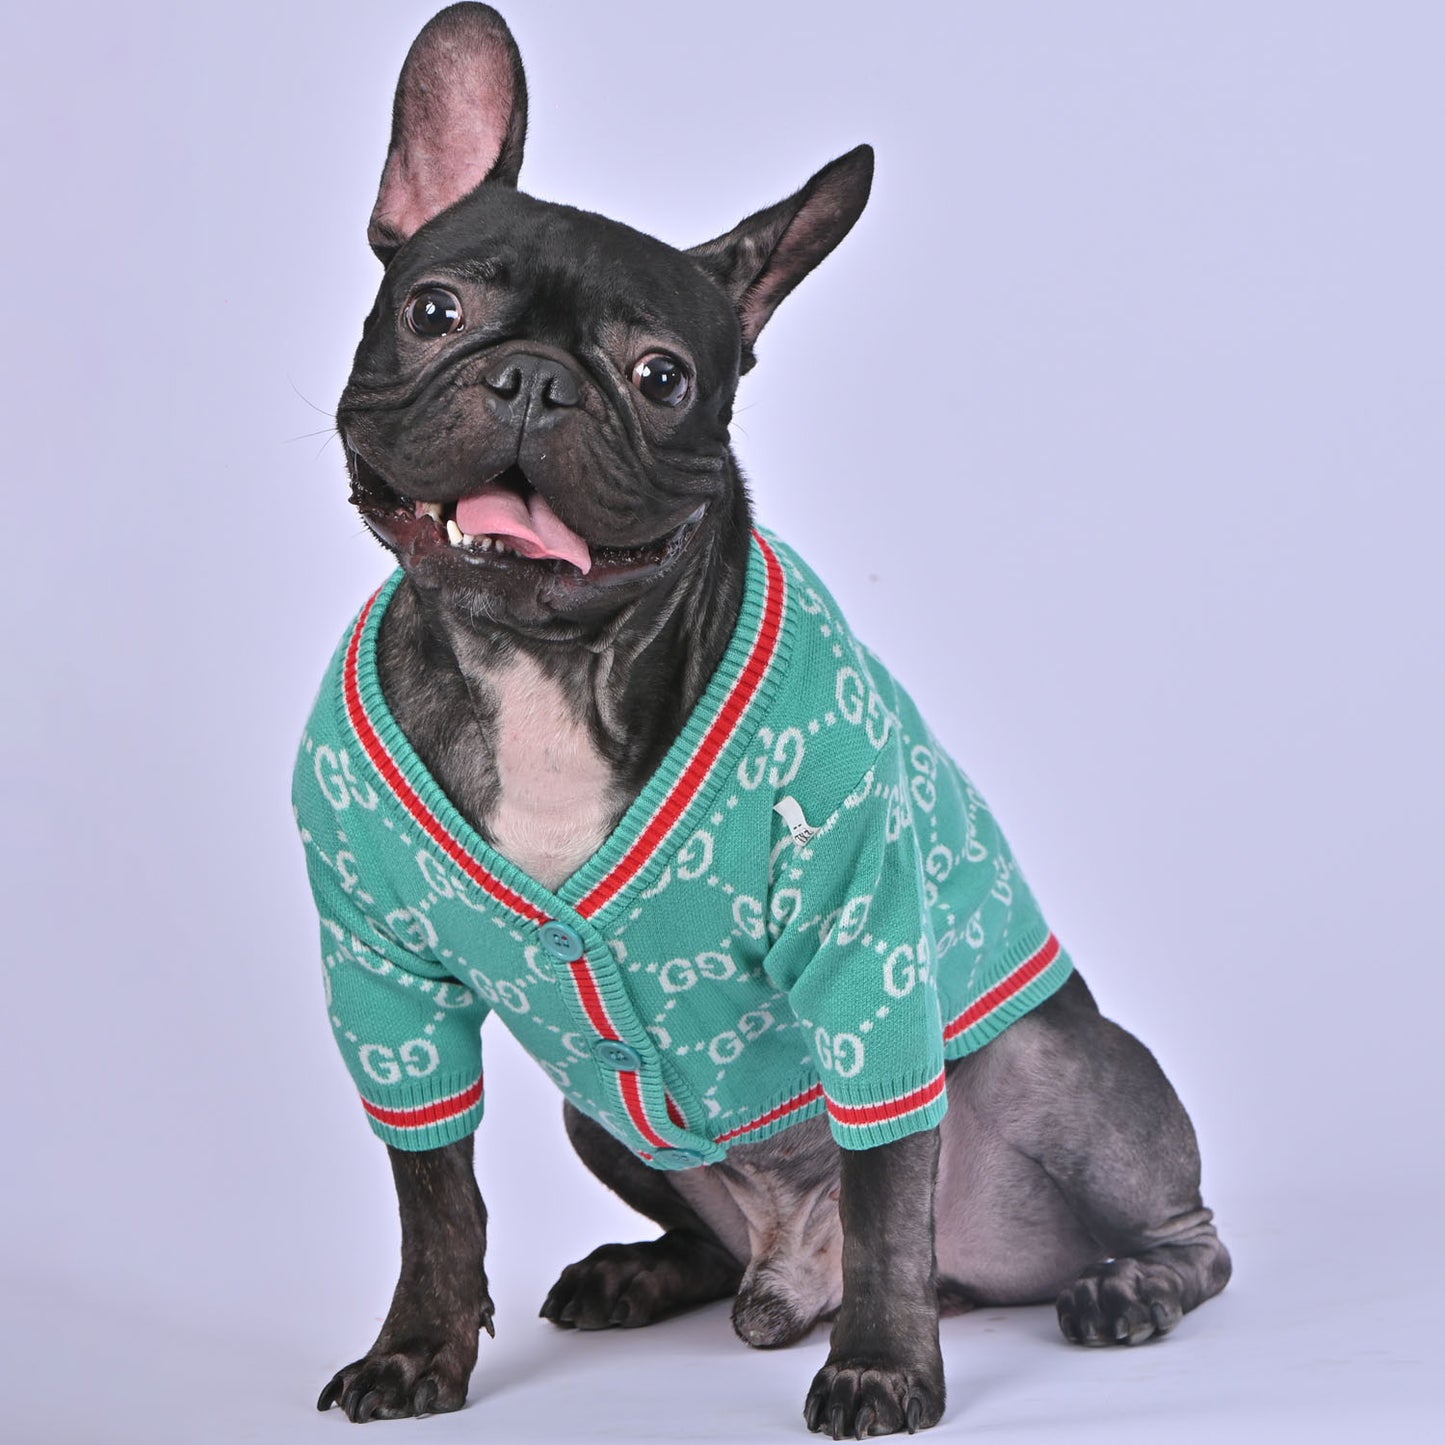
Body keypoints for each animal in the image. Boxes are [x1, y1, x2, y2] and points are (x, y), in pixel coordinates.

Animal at [296, 5, 1231, 1435]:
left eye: (661, 376)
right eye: (434, 310)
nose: (533, 381)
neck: (543, 661)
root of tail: (794, 1271)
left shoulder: (864, 949)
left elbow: (889, 1180)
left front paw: (883, 1367)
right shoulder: (384, 983)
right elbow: (434, 1191)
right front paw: (417, 1349)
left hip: (1046, 1064)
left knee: (1165, 1229)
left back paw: (1120, 1285)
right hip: (600, 1112)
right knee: (705, 1230)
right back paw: (636, 1273)